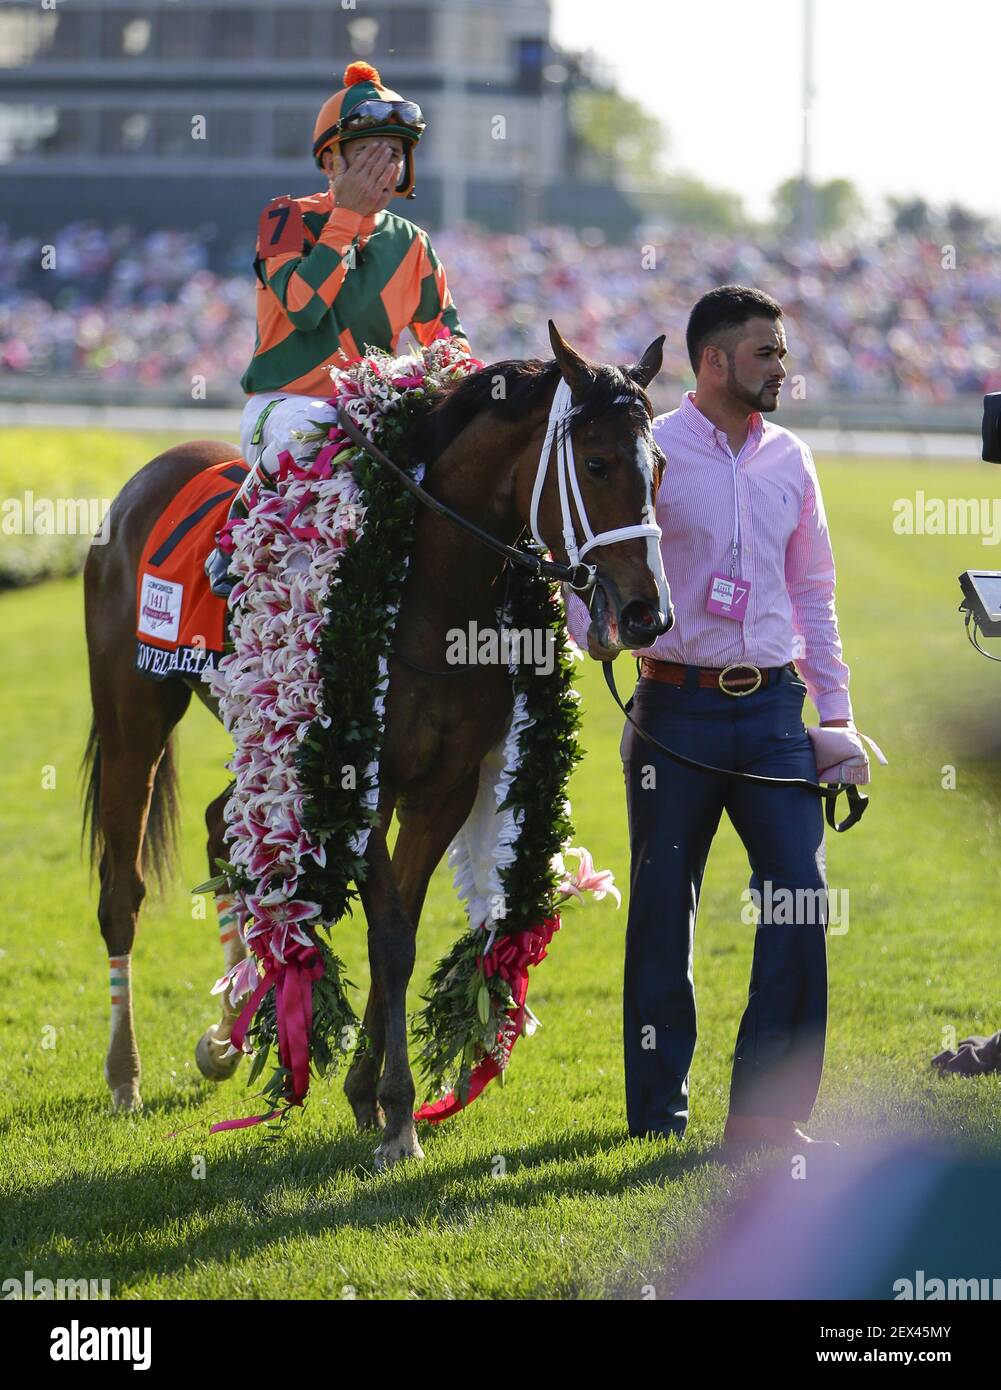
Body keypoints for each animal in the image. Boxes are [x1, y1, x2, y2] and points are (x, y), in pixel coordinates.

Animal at [82, 322, 675, 1162]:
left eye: (657, 466)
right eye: (595, 463)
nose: (646, 613)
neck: (431, 591)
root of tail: (147, 476)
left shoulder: (443, 785)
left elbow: (404, 930)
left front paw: (367, 1092)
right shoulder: (355, 773)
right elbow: (390, 937)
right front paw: (397, 1114)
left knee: (222, 830)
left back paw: (225, 1036)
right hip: (135, 714)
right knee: (122, 887)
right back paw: (124, 1073)